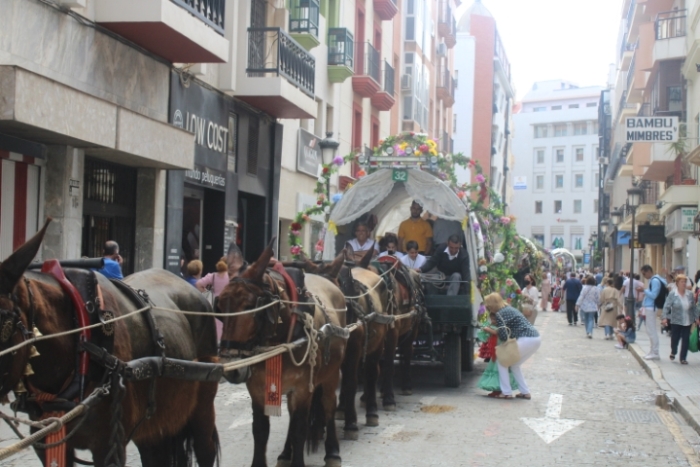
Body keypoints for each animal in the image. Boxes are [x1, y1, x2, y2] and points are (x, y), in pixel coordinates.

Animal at [219, 241, 348, 467]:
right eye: (219, 305)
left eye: (251, 306)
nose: (232, 369)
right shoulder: (257, 388)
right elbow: (260, 431)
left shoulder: (303, 389)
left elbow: (299, 430)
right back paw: (286, 453)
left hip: (331, 374)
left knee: (328, 404)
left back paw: (332, 451)